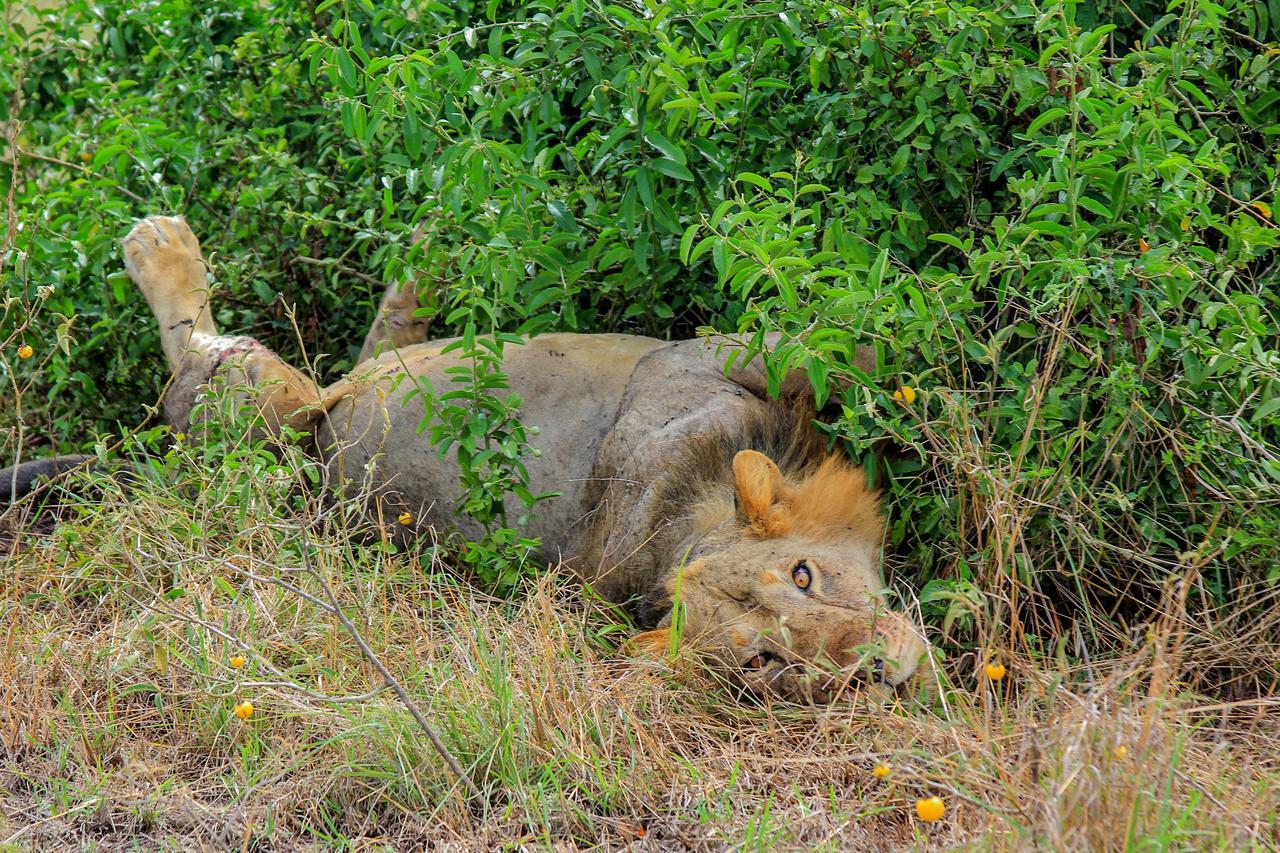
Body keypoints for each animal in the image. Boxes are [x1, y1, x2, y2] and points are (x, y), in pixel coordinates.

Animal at [10, 212, 931, 696]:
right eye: (765, 661)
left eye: (805, 575)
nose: (880, 668)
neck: (681, 520)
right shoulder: (688, 372)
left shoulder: (711, 357)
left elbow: (846, 350)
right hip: (269, 418)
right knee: (202, 352)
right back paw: (160, 246)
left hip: (323, 400)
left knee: (358, 350)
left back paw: (418, 272)